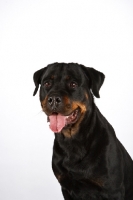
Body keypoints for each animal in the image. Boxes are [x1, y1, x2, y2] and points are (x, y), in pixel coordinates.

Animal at [33, 63, 133, 200]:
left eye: (73, 84)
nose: (53, 99)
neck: (73, 141)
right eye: (47, 83)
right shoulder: (66, 187)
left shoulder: (113, 190)